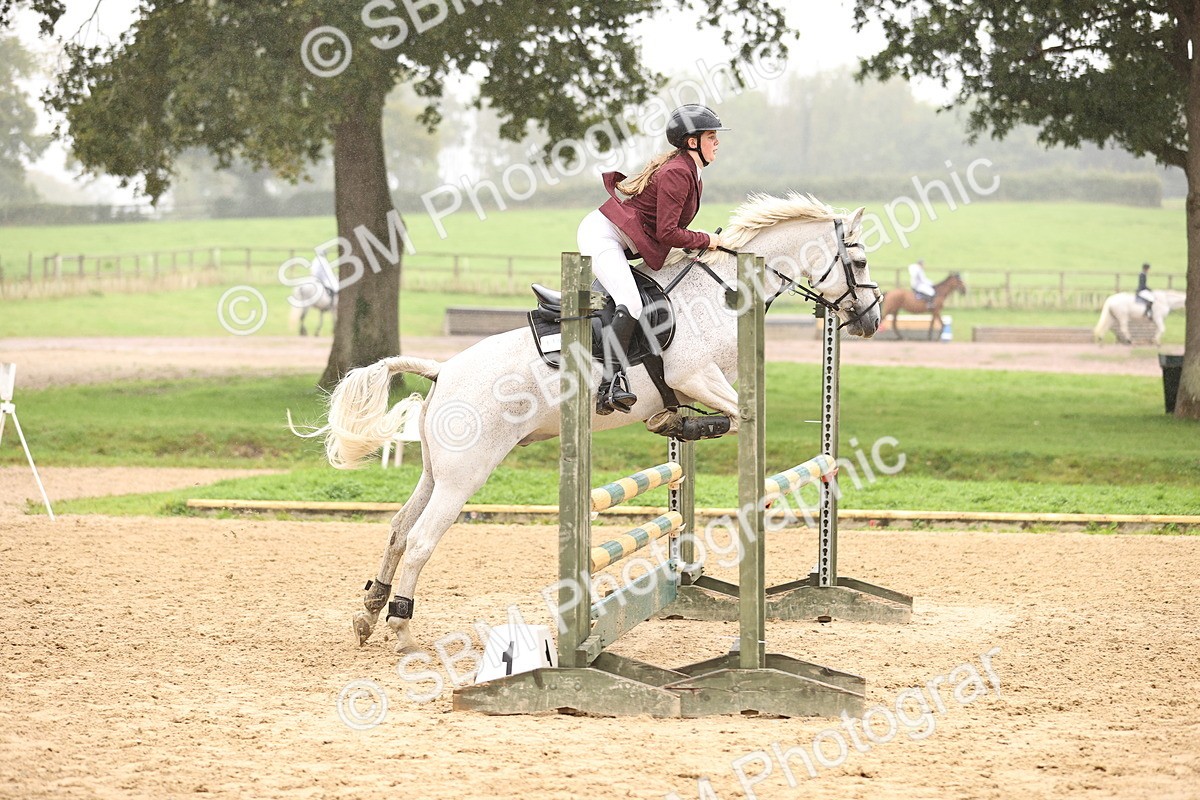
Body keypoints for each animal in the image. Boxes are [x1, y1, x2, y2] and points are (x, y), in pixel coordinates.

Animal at [310, 194, 883, 655]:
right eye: (858, 259)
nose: (872, 319)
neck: (722, 296)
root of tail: (443, 370)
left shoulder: (693, 384)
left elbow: (708, 420)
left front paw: (673, 423)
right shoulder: (697, 376)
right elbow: (741, 415)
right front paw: (690, 428)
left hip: (436, 472)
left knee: (398, 530)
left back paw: (369, 614)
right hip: (463, 476)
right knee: (421, 540)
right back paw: (402, 631)